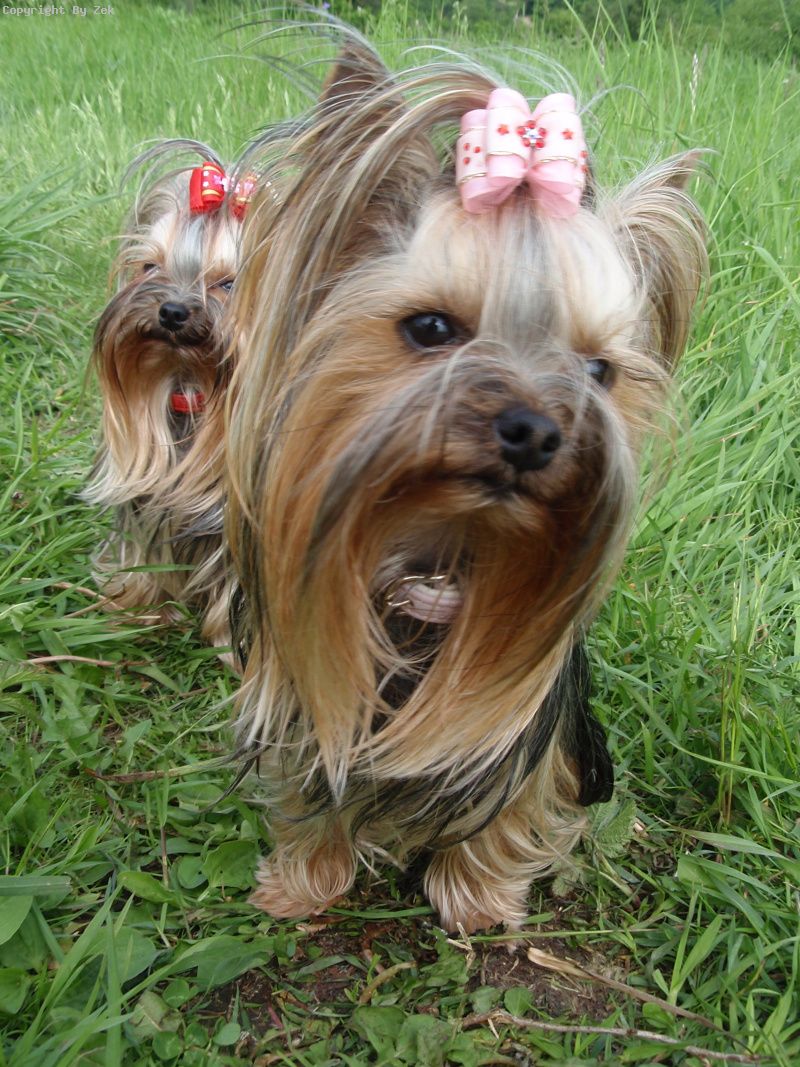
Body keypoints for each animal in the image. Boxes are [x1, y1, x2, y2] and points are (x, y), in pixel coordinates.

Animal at [225, 35, 706, 932]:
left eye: (598, 371)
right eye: (430, 327)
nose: (535, 430)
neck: (443, 537)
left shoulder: (533, 739)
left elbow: (511, 806)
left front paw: (476, 897)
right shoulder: (306, 696)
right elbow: (314, 781)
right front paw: (300, 883)